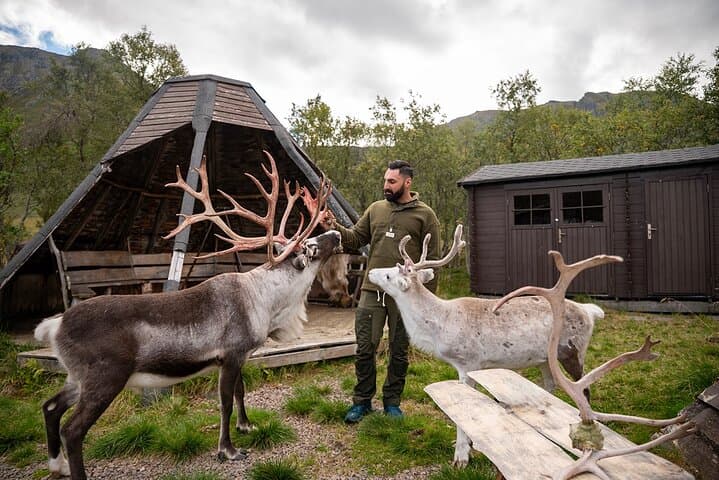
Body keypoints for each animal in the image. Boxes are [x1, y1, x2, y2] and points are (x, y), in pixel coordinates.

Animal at [33, 151, 341, 480]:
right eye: (309, 248)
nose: (336, 233)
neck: (266, 301)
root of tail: (55, 325)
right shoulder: (231, 354)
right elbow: (225, 402)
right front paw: (228, 450)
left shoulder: (239, 356)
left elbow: (241, 392)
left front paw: (246, 426)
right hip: (106, 377)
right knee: (73, 430)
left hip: (76, 377)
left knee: (50, 407)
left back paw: (57, 464)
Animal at [367, 224, 603, 467]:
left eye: (389, 274)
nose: (371, 272)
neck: (439, 326)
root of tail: (591, 311)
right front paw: (468, 445)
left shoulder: (468, 363)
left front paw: (461, 457)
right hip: (546, 359)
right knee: (550, 386)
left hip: (572, 351)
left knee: (585, 390)